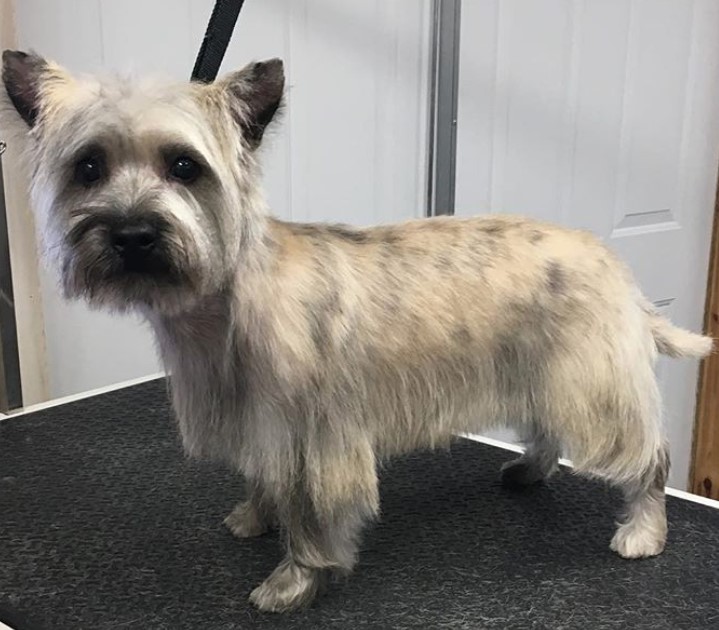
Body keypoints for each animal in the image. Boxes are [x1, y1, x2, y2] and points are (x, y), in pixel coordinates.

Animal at [2, 49, 716, 612]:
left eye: (183, 166)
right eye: (88, 167)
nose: (132, 233)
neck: (226, 302)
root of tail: (617, 269)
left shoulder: (316, 437)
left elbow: (310, 516)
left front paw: (293, 582)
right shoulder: (260, 425)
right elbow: (264, 482)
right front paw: (254, 517)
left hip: (592, 385)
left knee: (647, 457)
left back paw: (642, 532)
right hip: (541, 370)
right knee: (545, 430)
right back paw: (531, 471)